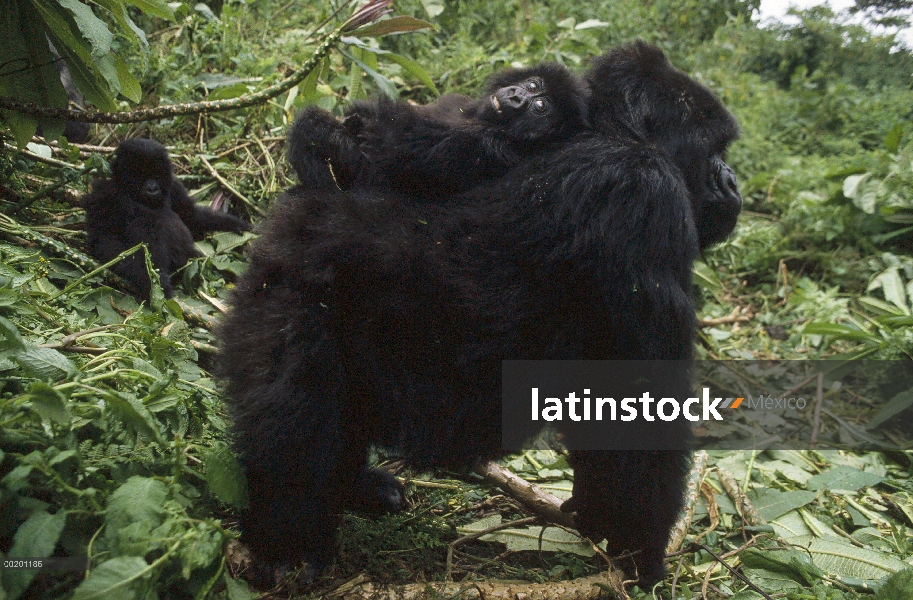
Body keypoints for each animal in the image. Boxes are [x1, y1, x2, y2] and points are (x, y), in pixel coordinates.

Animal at [83, 139, 249, 300]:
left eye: (156, 176)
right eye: (140, 176)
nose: (152, 188)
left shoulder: (174, 185)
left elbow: (190, 215)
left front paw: (235, 224)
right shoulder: (104, 193)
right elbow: (103, 238)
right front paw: (147, 278)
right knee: (148, 223)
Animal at [286, 62, 592, 196]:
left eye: (539, 106)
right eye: (532, 84)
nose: (517, 96)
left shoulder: (489, 147)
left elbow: (385, 170)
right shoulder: (455, 100)